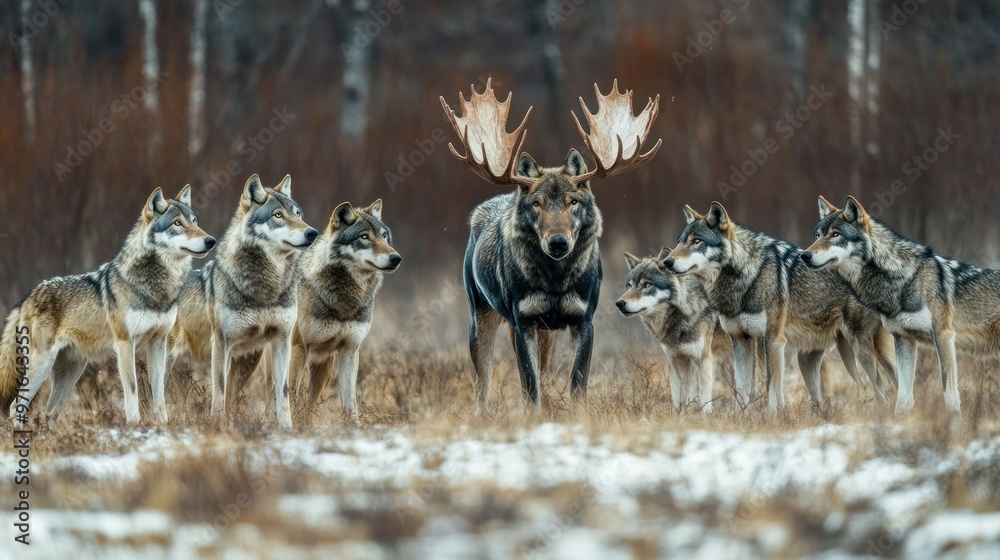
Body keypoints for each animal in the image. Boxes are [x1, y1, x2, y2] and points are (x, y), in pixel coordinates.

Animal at [2, 186, 215, 422]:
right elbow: (132, 391)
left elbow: (159, 394)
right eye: (177, 223)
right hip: (42, 365)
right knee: (16, 406)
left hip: (71, 374)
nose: (211, 240)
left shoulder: (159, 342)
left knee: (49, 412)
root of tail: (28, 296)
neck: (156, 288)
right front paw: (134, 425)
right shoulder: (125, 343)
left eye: (195, 221)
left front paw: (163, 425)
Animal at [168, 175, 316, 428]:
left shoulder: (282, 340)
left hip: (249, 361)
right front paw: (218, 426)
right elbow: (219, 391)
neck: (266, 289)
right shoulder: (221, 343)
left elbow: (283, 393)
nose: (312, 233)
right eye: (278, 215)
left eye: (298, 214)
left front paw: (286, 428)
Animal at [440, 79, 660, 412]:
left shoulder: (584, 318)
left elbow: (577, 384)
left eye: (573, 201)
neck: (555, 284)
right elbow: (529, 388)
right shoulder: (523, 320)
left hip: (542, 330)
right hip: (480, 311)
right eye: (536, 202)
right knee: (483, 381)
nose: (558, 242)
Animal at [664, 203, 900, 410]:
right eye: (679, 241)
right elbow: (741, 389)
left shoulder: (773, 341)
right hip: (812, 358)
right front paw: (742, 417)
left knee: (889, 384)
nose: (667, 262)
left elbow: (772, 388)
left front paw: (772, 417)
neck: (746, 277)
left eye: (696, 241)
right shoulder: (740, 341)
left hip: (863, 351)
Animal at [800, 195, 988, 414]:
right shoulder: (904, 337)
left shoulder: (944, 336)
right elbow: (904, 395)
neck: (901, 275)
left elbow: (948, 391)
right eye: (817, 235)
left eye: (835, 234)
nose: (804, 256)